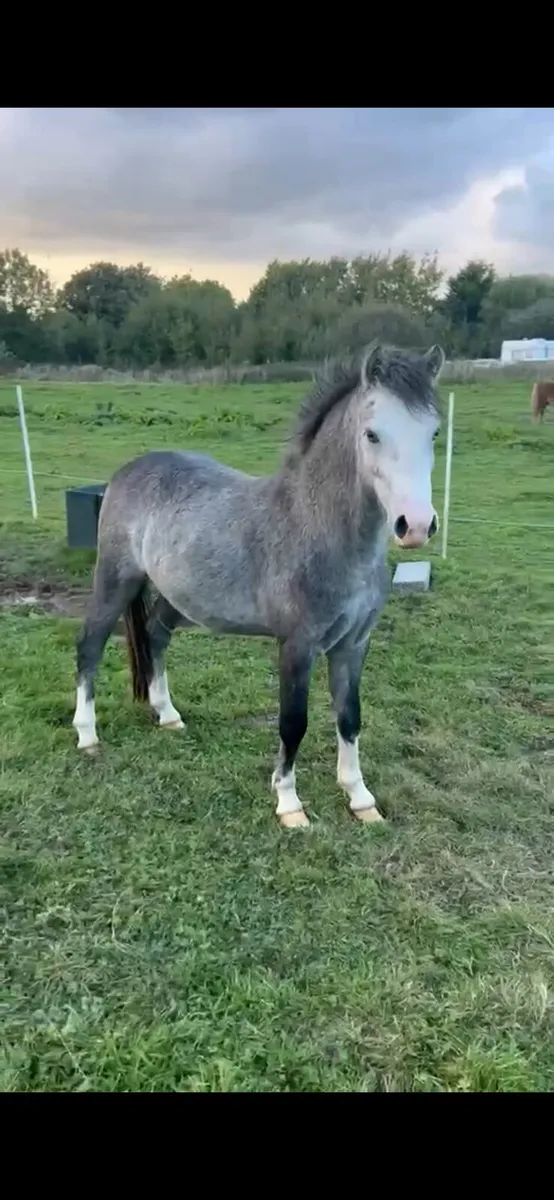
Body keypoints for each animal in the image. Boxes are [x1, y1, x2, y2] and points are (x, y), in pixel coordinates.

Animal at [73, 341, 444, 830]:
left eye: (434, 434)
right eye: (372, 434)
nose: (415, 526)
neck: (318, 529)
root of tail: (125, 472)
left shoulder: (354, 644)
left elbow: (350, 717)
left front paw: (361, 799)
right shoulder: (297, 645)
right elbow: (293, 722)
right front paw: (289, 805)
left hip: (176, 596)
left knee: (155, 636)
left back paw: (168, 715)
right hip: (115, 579)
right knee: (90, 645)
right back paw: (87, 736)